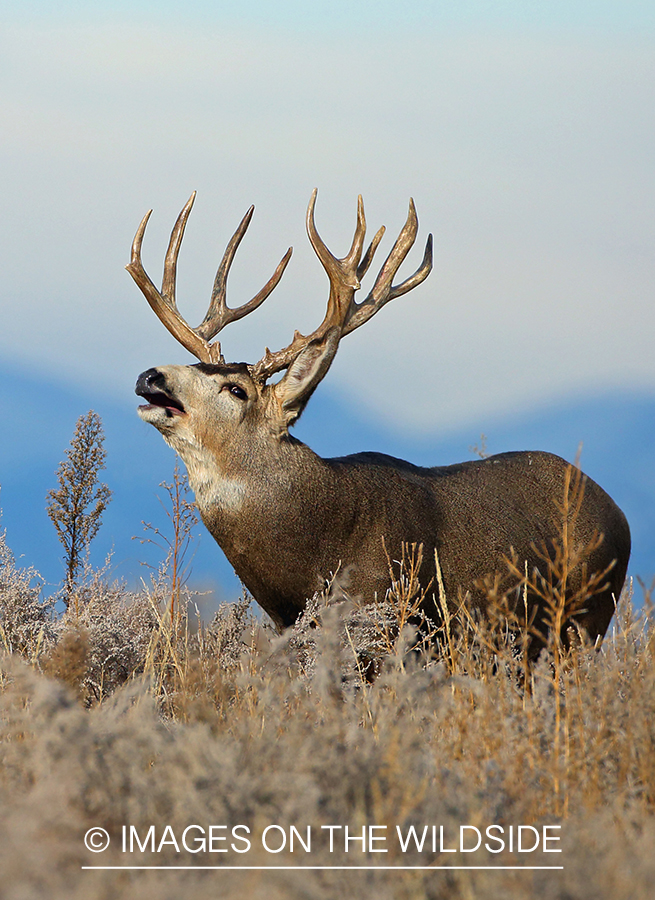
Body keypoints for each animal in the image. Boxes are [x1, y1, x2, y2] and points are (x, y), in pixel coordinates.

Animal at [129, 190, 631, 656]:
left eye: (237, 390)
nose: (150, 376)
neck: (315, 552)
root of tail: (618, 513)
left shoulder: (389, 620)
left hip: (586, 617)